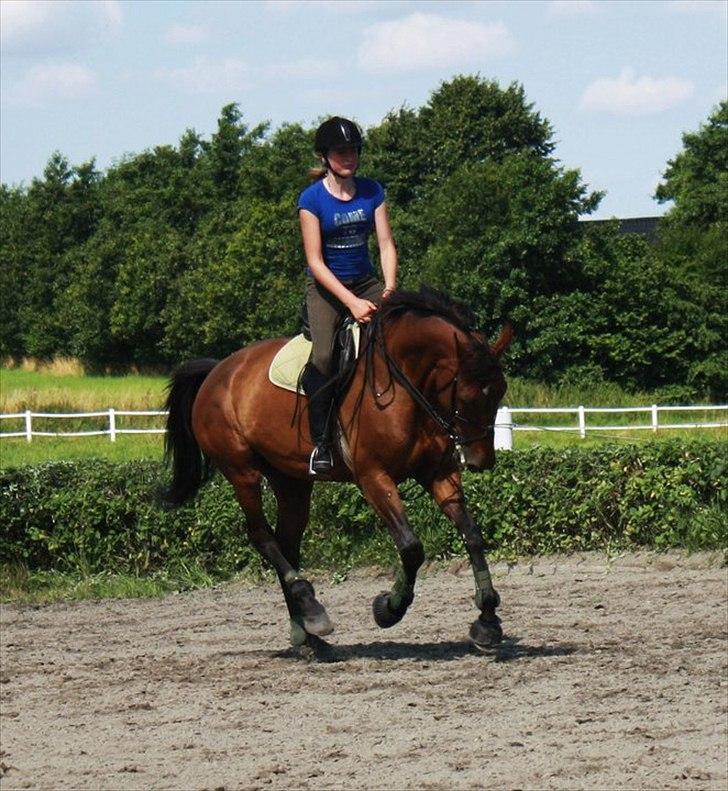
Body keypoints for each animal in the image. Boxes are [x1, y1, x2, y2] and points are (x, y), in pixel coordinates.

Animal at [165, 288, 512, 652]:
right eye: (468, 394)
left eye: (500, 391)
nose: (481, 460)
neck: (403, 382)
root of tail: (219, 370)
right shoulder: (373, 477)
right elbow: (411, 548)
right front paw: (388, 609)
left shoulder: (438, 474)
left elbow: (472, 536)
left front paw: (487, 621)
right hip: (241, 471)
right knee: (262, 536)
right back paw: (312, 608)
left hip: (290, 481)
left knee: (287, 542)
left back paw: (306, 633)